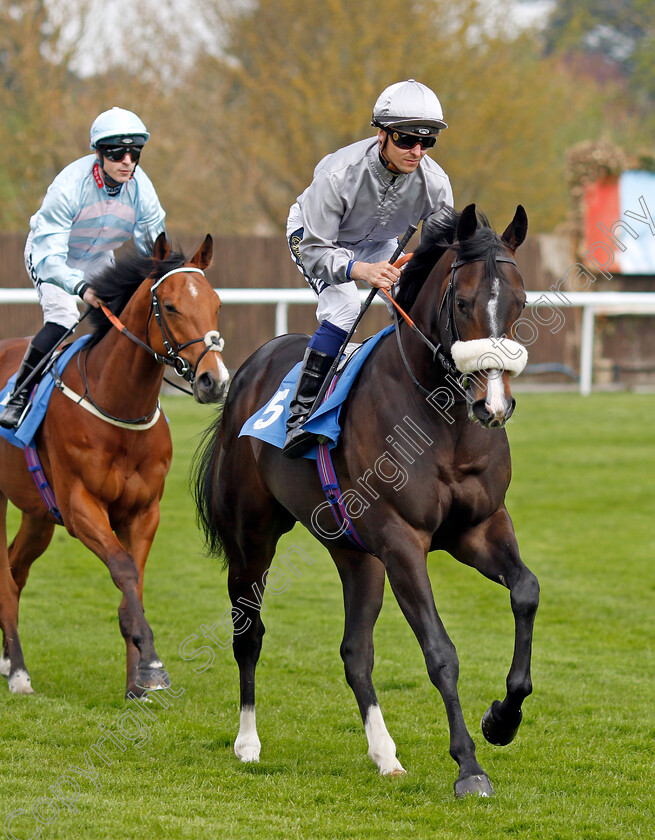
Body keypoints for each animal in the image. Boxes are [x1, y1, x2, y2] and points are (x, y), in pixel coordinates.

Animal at [0, 233, 231, 700]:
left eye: (216, 303)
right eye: (171, 306)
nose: (213, 381)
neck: (117, 405)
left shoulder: (143, 511)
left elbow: (133, 583)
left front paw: (137, 681)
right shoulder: (80, 506)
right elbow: (122, 568)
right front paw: (153, 663)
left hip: (37, 514)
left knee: (17, 568)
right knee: (4, 580)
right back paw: (18, 671)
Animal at [192, 207, 540, 796]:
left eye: (518, 302)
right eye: (463, 302)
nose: (492, 404)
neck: (442, 423)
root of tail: (249, 369)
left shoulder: (480, 527)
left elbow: (526, 592)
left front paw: (502, 719)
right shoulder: (402, 541)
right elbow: (440, 652)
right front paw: (469, 766)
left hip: (356, 553)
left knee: (355, 652)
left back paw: (385, 754)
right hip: (251, 539)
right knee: (249, 633)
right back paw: (247, 742)